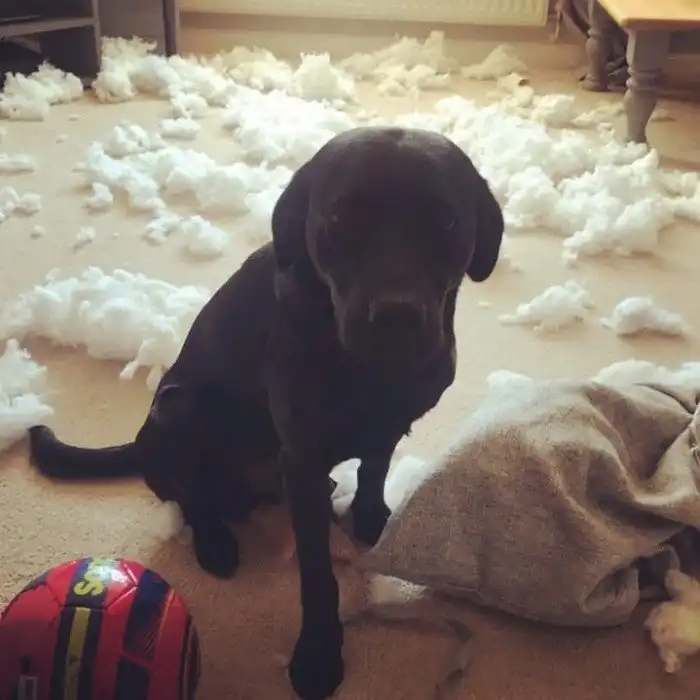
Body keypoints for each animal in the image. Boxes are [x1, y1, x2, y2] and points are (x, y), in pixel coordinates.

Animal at [28, 125, 504, 700]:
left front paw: (369, 516)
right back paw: (214, 543)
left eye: (448, 221)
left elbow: (375, 468)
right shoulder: (301, 457)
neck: (368, 371)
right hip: (180, 412)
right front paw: (318, 655)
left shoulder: (388, 426)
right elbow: (318, 576)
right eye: (341, 218)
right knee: (192, 497)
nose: (397, 317)